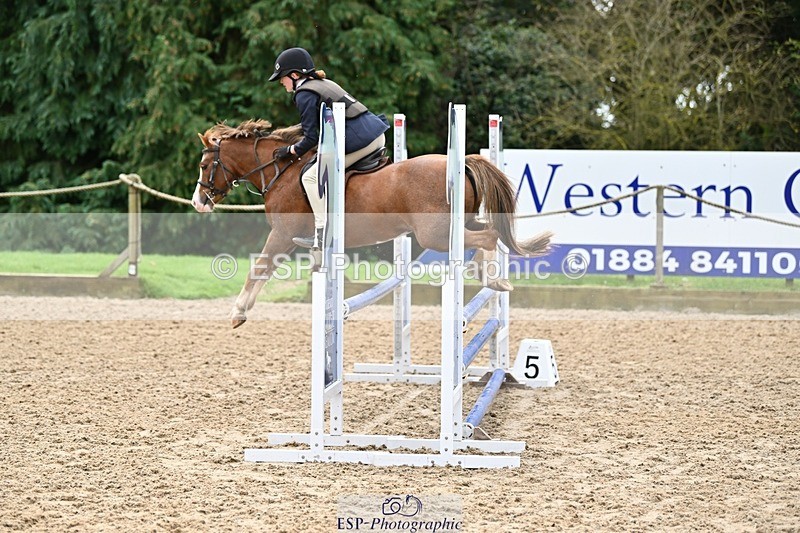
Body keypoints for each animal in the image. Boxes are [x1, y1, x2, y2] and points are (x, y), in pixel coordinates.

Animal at [191, 119, 551, 328]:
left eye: (205, 165)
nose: (198, 202)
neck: (282, 171)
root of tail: (460, 164)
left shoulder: (282, 234)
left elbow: (259, 269)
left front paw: (238, 312)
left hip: (433, 234)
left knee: (488, 236)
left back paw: (492, 279)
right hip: (451, 226)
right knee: (485, 233)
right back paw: (490, 276)